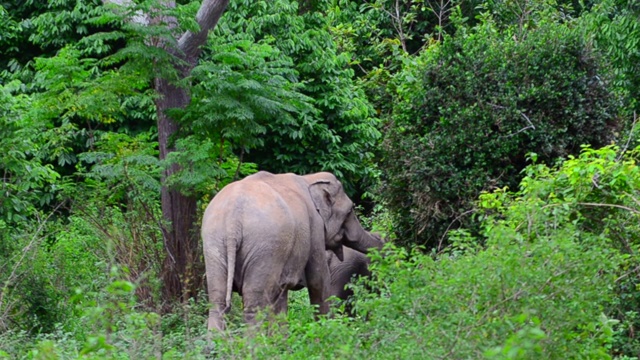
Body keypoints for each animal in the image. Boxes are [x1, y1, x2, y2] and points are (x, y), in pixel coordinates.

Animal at [201, 170, 380, 330]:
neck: (309, 178)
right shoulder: (314, 226)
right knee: (254, 305)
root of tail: (233, 220)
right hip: (266, 246)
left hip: (214, 243)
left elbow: (281, 297)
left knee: (217, 301)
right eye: (350, 211)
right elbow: (318, 280)